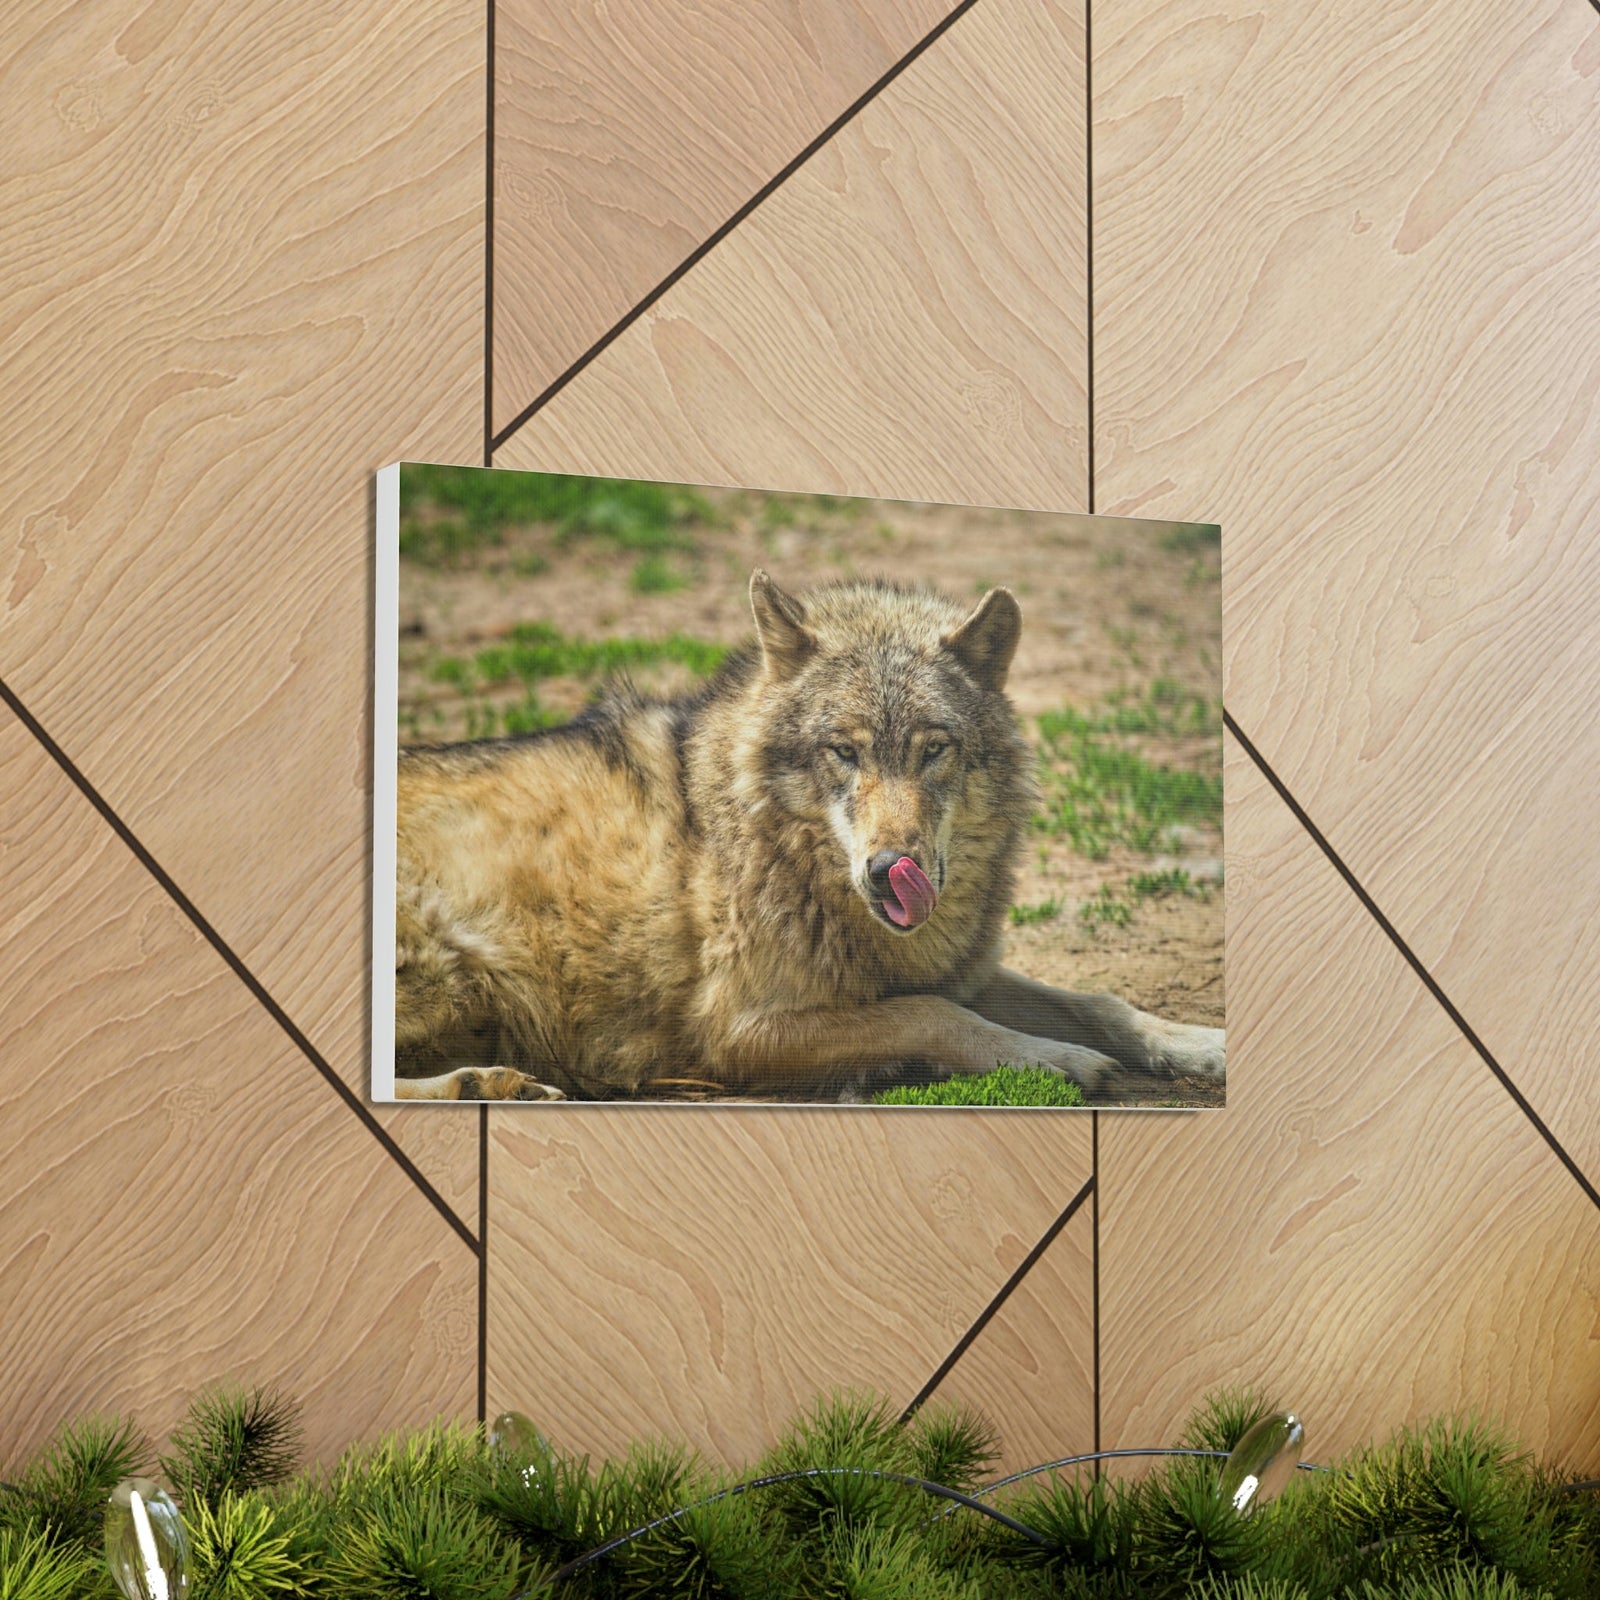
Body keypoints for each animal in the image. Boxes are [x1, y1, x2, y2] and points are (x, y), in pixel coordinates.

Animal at [390, 571, 1224, 1102]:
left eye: (933, 749)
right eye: (844, 752)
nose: (890, 869)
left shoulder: (958, 970)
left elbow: (1100, 1001)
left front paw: (1198, 1045)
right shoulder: (738, 1032)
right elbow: (934, 1016)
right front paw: (1056, 1062)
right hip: (448, 969)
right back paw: (479, 1084)